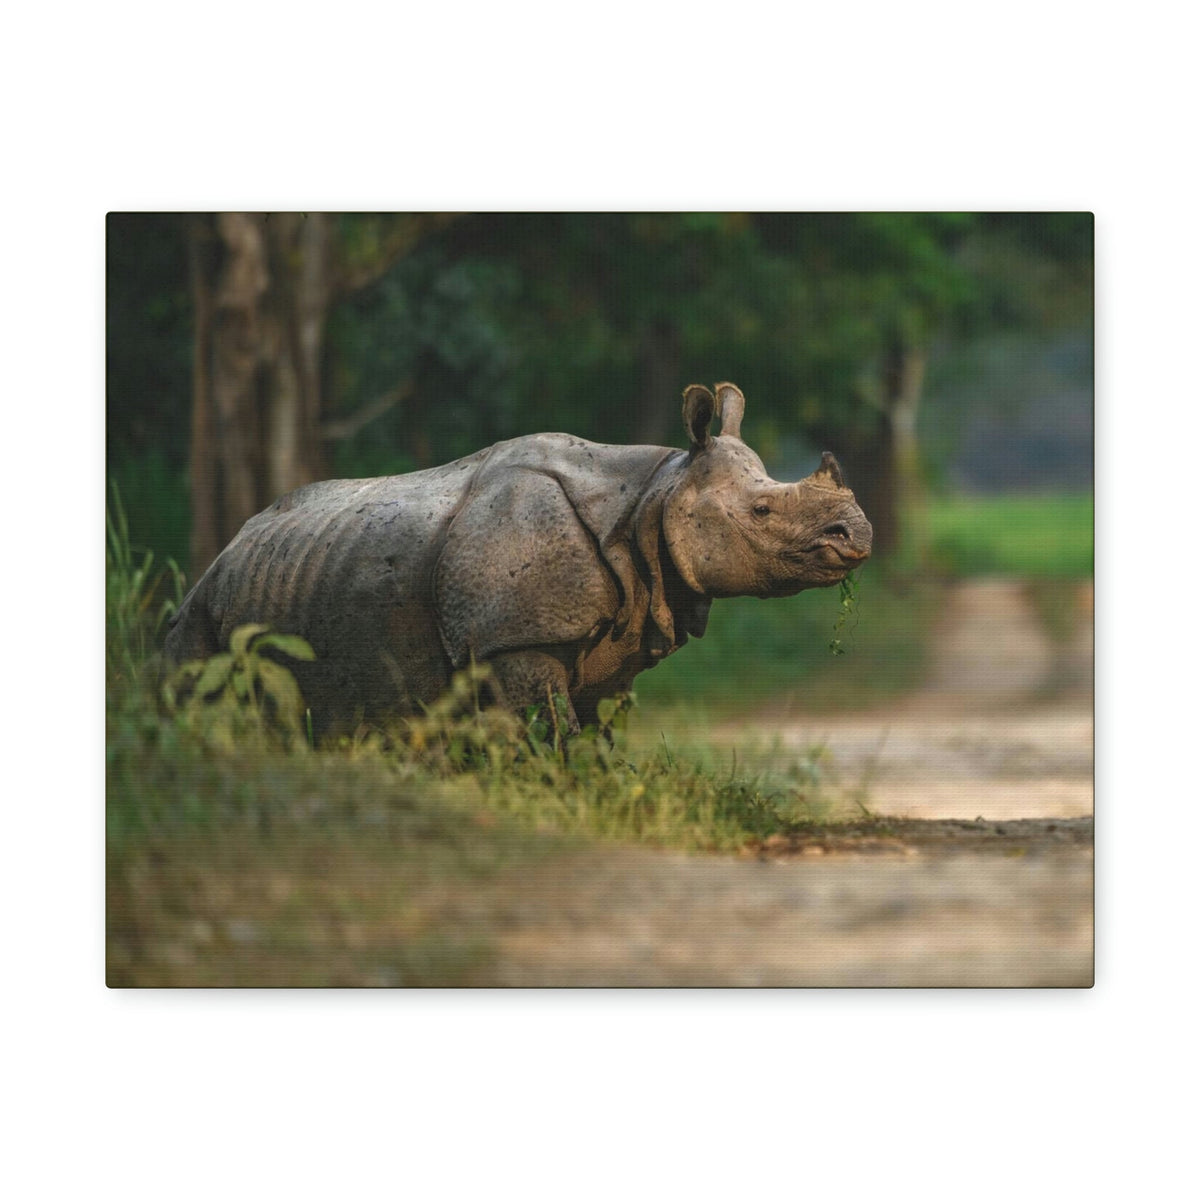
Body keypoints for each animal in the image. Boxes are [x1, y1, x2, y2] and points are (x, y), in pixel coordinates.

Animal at [164, 383, 872, 733]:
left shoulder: (617, 634)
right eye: (762, 512)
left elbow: (595, 737)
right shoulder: (514, 639)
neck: (653, 497)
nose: (858, 535)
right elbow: (549, 733)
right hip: (201, 610)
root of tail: (226, 550)